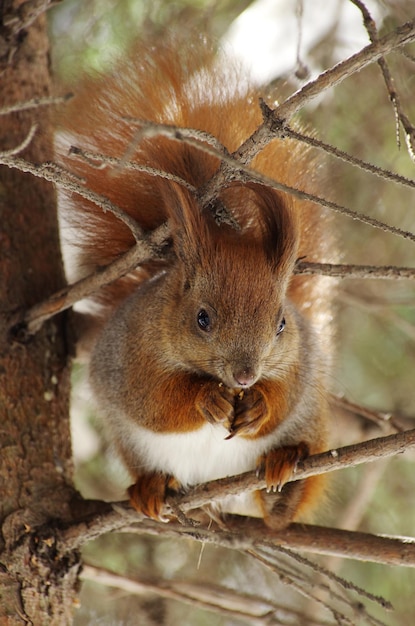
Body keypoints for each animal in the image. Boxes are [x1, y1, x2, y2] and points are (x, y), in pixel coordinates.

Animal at [57, 36, 334, 528]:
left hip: (312, 418)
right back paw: (153, 488)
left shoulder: (300, 359)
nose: (245, 376)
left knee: (288, 496)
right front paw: (206, 400)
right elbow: (156, 401)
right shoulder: (132, 355)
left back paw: (286, 476)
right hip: (132, 443)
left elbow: (285, 393)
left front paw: (260, 403)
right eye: (202, 319)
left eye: (281, 323)